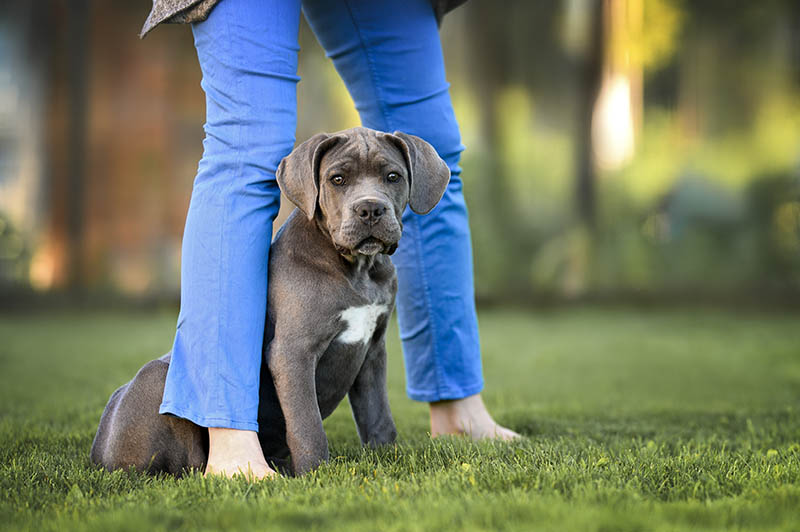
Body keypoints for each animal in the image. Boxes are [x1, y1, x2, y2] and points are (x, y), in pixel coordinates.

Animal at [91, 127, 454, 476]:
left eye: (393, 176)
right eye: (337, 179)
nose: (371, 209)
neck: (357, 268)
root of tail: (98, 451)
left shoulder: (373, 351)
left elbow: (378, 415)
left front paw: (386, 458)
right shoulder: (292, 353)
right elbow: (307, 423)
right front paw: (315, 474)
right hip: (156, 379)